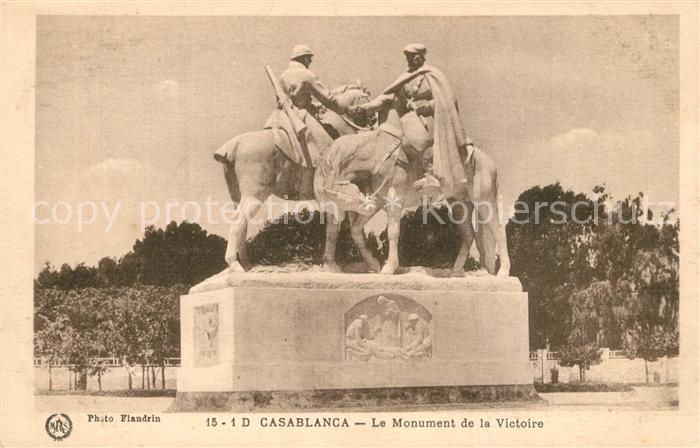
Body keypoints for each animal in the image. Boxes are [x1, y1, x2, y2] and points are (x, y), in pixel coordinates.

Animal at [213, 84, 372, 272]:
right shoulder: (337, 195)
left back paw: (247, 265)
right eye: (367, 99)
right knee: (237, 224)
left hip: (238, 196)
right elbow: (336, 228)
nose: (372, 122)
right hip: (255, 195)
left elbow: (341, 228)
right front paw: (334, 265)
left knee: (242, 226)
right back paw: (235, 266)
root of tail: (237, 144)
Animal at [314, 108, 512, 276]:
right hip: (460, 205)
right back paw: (455, 271)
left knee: (498, 230)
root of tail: (489, 163)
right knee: (469, 234)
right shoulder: (378, 201)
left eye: (338, 196)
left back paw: (503, 272)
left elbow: (393, 232)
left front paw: (389, 267)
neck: (377, 154)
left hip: (483, 202)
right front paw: (374, 264)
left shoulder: (393, 201)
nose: (336, 216)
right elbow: (356, 230)